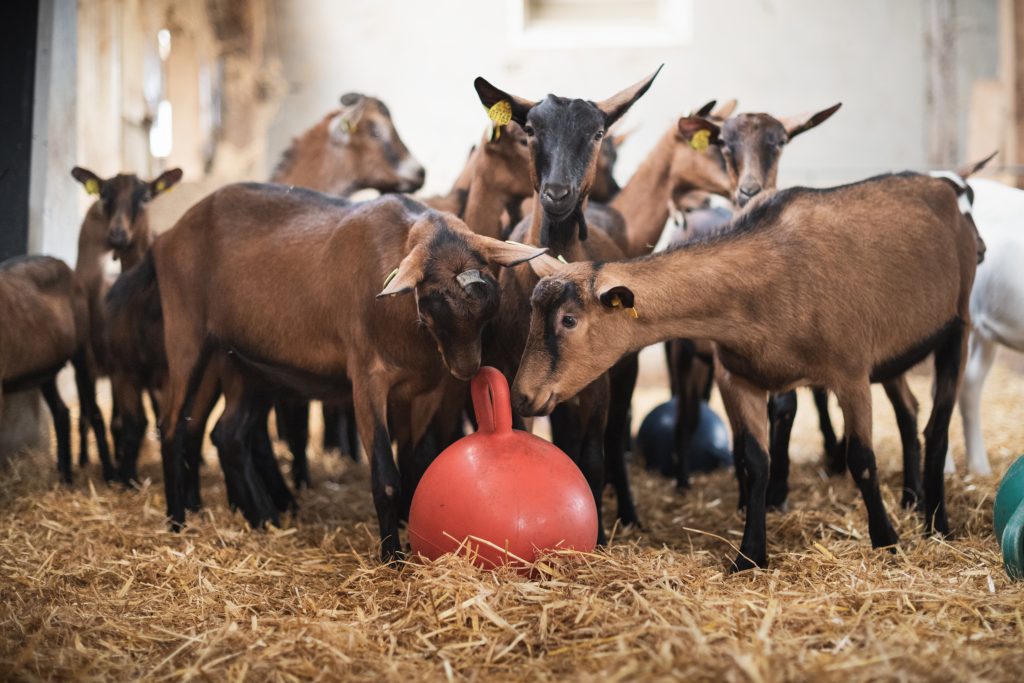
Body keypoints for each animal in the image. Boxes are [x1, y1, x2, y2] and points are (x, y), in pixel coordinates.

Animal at [0, 253, 105, 483]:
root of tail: (63, 264)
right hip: (46, 370)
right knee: (61, 412)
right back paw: (65, 476)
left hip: (82, 350)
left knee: (95, 412)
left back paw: (110, 474)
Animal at [149, 184, 544, 557]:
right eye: (432, 298)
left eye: (490, 302)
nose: (466, 369)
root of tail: (170, 233)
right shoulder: (368, 379)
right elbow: (386, 476)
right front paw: (392, 556)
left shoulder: (426, 390)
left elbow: (416, 463)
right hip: (187, 337)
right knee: (173, 426)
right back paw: (177, 521)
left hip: (244, 364)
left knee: (228, 434)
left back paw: (266, 519)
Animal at [473, 66, 663, 540]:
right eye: (530, 131)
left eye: (597, 133)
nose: (558, 194)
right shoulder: (516, 373)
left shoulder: (598, 381)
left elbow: (594, 456)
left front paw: (597, 535)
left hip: (626, 371)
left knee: (612, 439)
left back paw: (629, 514)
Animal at [520, 172, 983, 573]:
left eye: (568, 320)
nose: (523, 395)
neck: (769, 274)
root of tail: (942, 188)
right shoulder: (739, 379)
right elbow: (755, 463)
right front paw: (750, 555)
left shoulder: (850, 372)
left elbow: (862, 460)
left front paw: (886, 540)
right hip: (893, 354)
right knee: (908, 409)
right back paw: (912, 499)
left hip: (957, 326)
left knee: (937, 428)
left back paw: (937, 523)